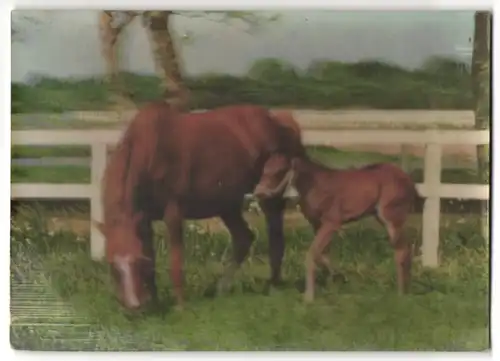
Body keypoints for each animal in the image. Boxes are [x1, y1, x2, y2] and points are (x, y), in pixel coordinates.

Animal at [94, 102, 304, 310]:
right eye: (112, 265)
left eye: (136, 262)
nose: (134, 306)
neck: (152, 151)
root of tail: (279, 121)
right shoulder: (142, 220)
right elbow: (151, 257)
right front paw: (154, 301)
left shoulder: (173, 214)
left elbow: (175, 260)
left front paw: (180, 305)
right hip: (227, 205)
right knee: (244, 238)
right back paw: (221, 290)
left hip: (268, 195)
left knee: (275, 238)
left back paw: (272, 286)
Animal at [254, 155, 422, 300]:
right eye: (264, 169)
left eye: (280, 171)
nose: (259, 192)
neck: (312, 185)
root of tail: (409, 180)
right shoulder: (317, 223)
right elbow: (323, 254)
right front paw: (335, 282)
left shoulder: (332, 222)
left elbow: (312, 253)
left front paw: (309, 296)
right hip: (383, 218)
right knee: (406, 248)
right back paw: (407, 288)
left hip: (392, 217)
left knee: (401, 251)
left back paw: (400, 293)